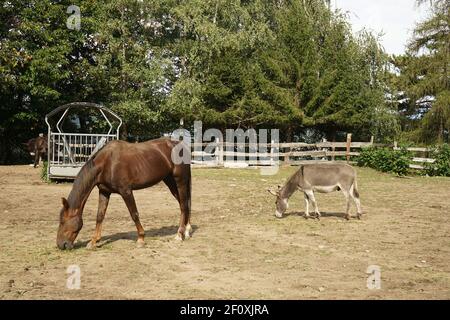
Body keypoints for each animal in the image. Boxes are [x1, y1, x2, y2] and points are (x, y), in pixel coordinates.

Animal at [55, 138, 191, 250]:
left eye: (62, 221)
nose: (61, 245)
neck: (107, 163)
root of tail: (180, 145)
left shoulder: (126, 191)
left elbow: (134, 214)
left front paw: (141, 239)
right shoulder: (104, 192)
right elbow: (100, 216)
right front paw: (93, 241)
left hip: (180, 181)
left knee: (184, 205)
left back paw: (179, 234)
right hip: (170, 182)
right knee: (184, 204)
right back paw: (187, 230)